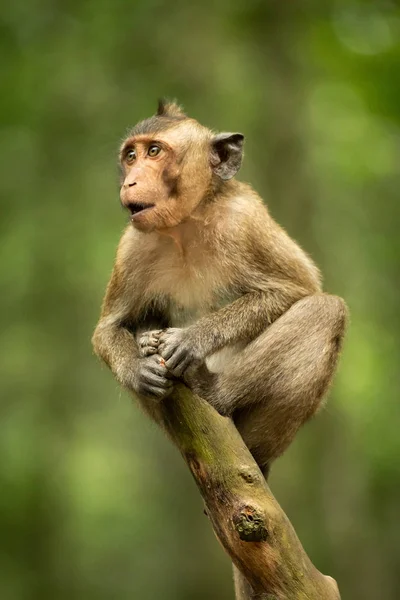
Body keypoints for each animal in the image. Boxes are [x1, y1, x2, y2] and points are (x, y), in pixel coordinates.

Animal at [92, 99, 348, 474]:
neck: (185, 225)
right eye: (130, 156)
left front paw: (192, 339)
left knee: (327, 310)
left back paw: (213, 391)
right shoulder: (132, 248)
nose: (130, 182)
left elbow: (297, 288)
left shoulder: (245, 220)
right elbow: (109, 328)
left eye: (154, 151)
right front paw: (138, 368)